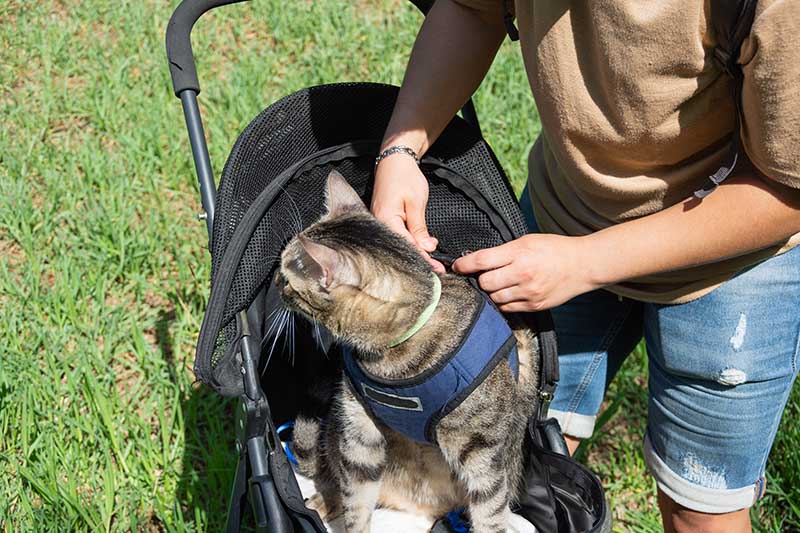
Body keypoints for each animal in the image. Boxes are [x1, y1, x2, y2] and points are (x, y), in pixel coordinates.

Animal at [276, 171, 536, 532]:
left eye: (287, 277)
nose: (275, 282)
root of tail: (424, 509)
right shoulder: (358, 431)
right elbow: (356, 499)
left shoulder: (484, 455)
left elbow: (490, 513)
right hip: (335, 431)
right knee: (333, 473)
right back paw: (326, 501)